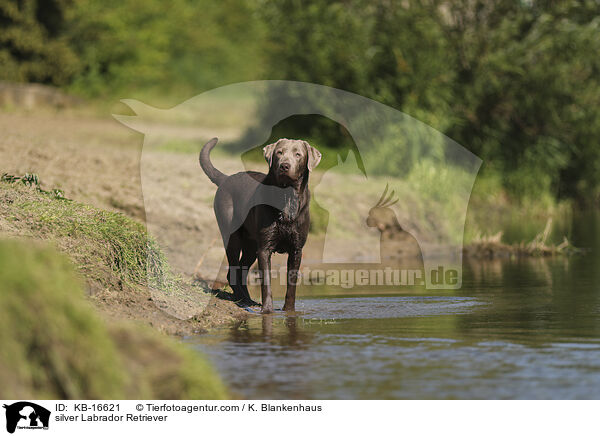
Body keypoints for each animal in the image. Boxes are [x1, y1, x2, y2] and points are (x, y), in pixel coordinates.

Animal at [200, 138, 324, 312]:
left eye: (298, 154)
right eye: (279, 152)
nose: (284, 166)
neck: (286, 197)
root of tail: (226, 179)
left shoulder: (296, 249)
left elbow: (291, 284)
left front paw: (289, 311)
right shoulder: (265, 248)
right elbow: (266, 281)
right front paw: (267, 310)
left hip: (251, 244)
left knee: (242, 270)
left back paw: (249, 300)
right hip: (232, 235)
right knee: (233, 271)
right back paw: (243, 300)